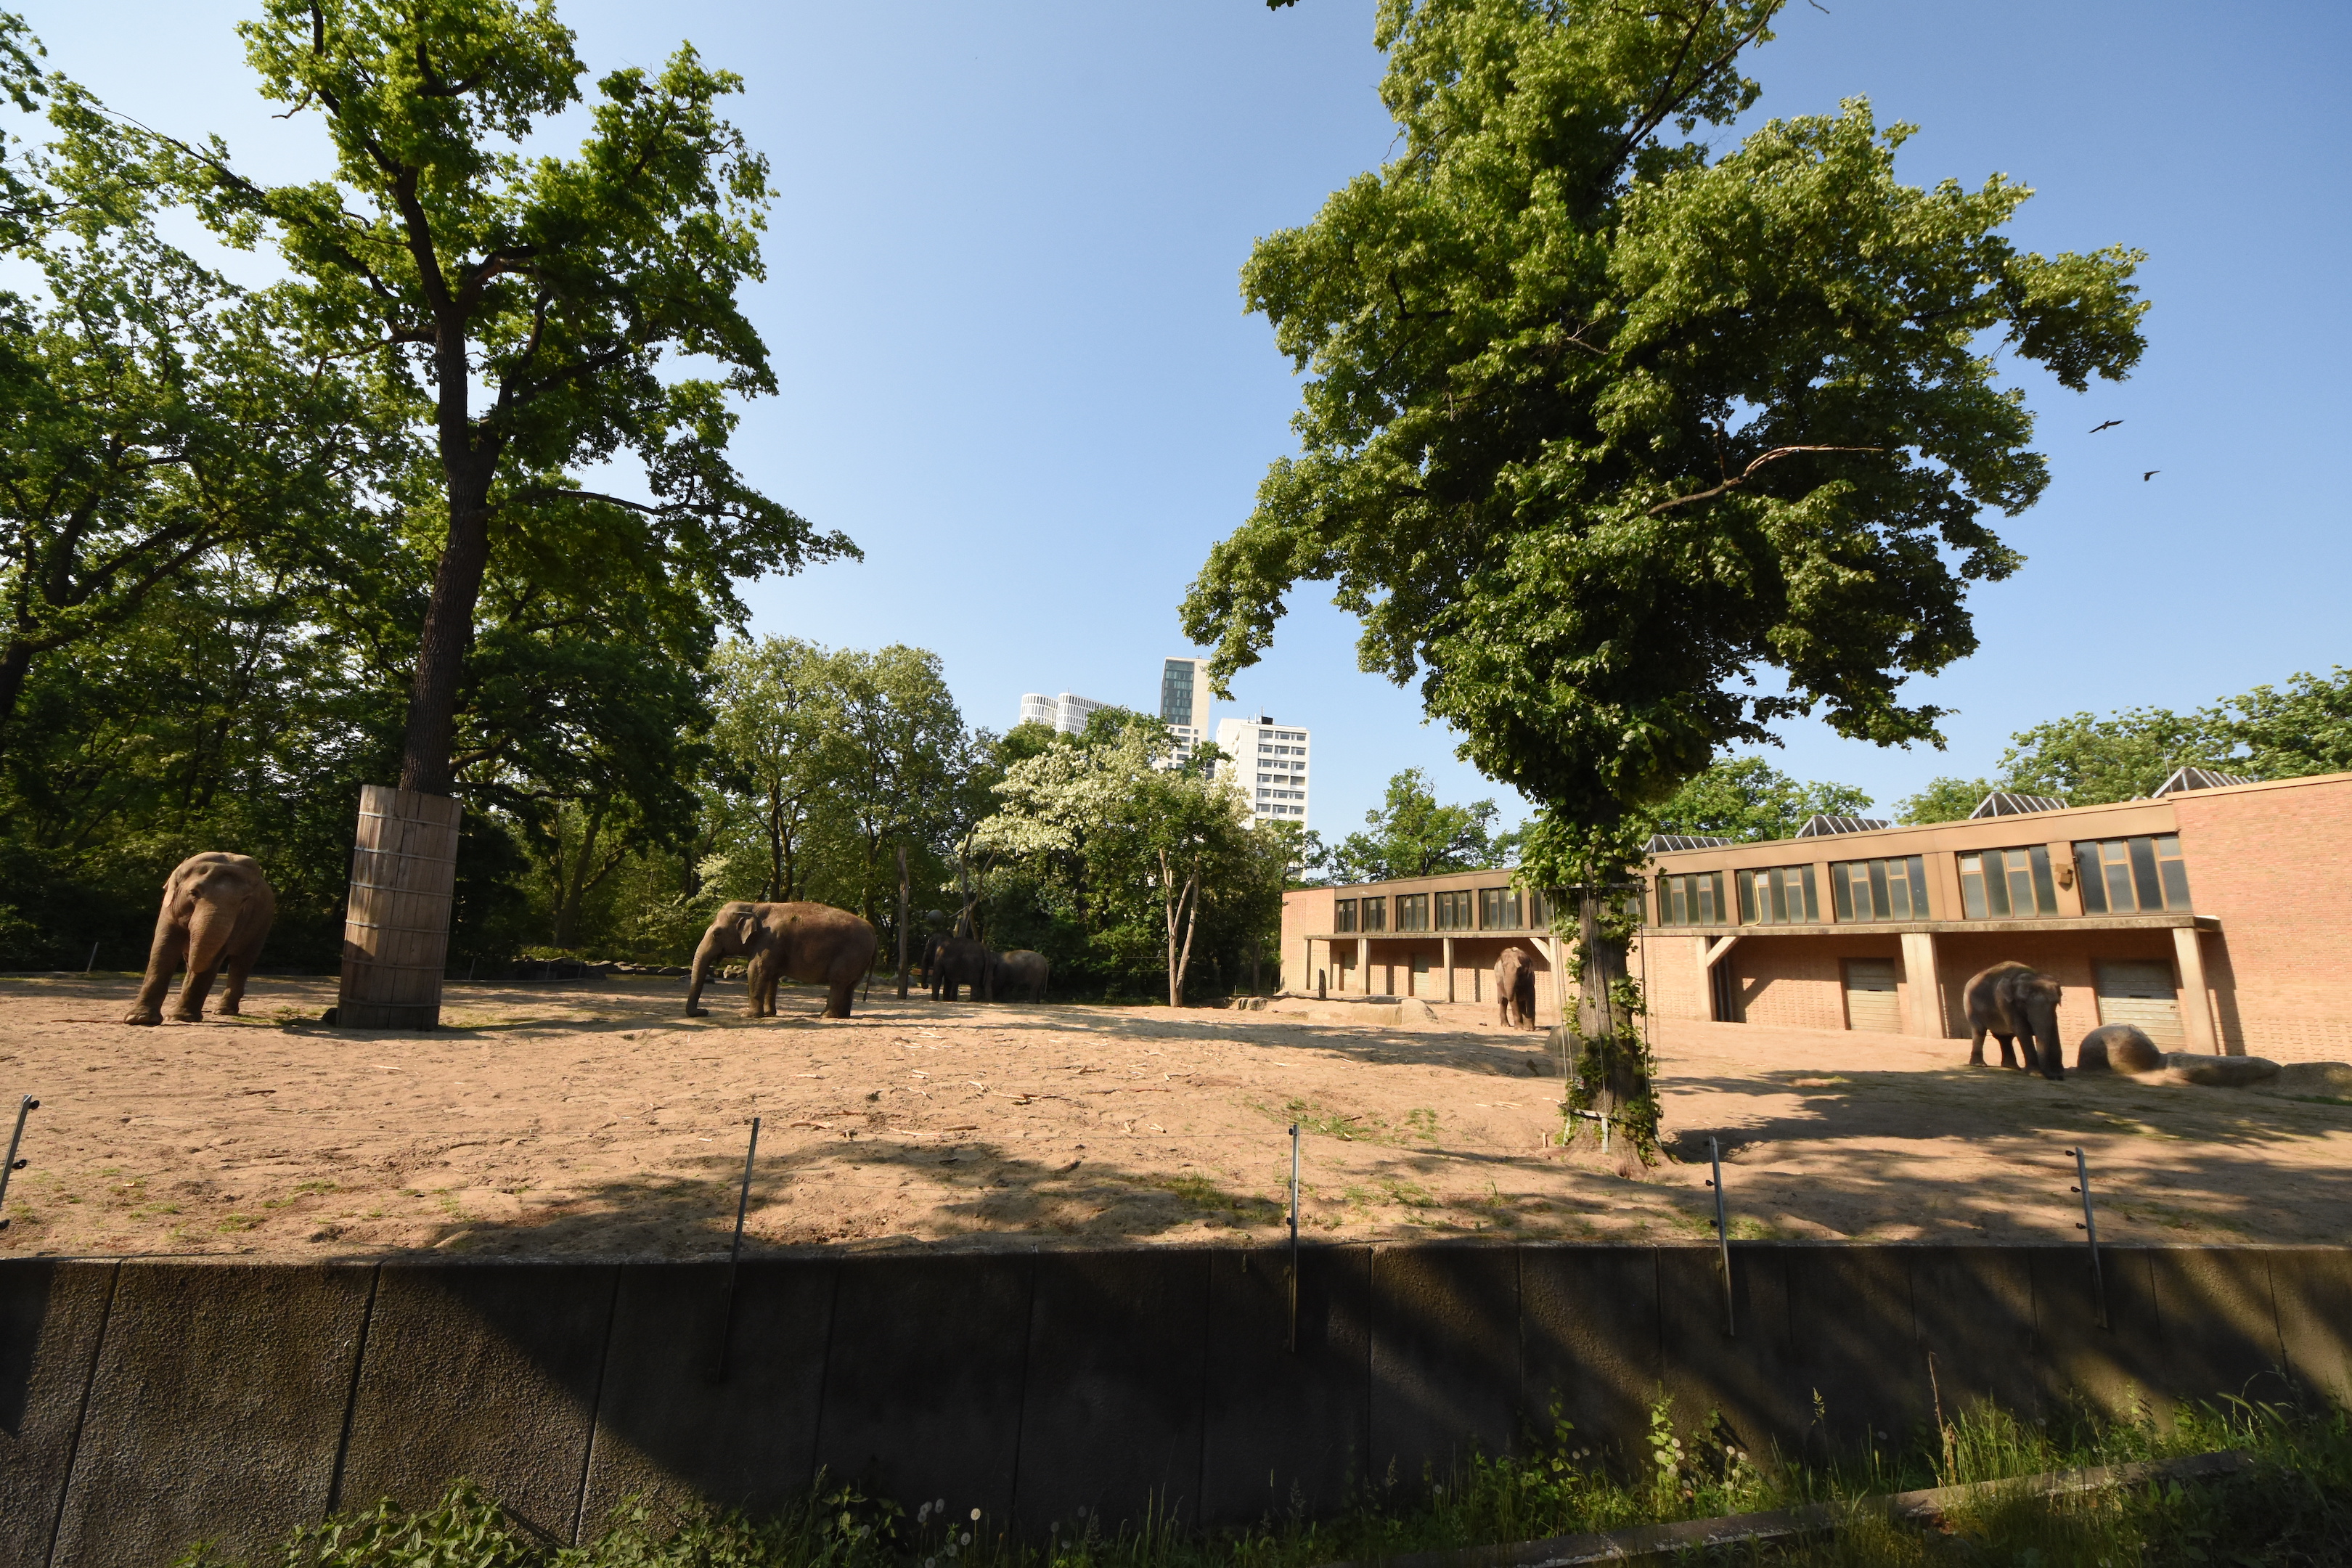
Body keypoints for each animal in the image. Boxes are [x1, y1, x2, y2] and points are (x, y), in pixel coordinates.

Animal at [124, 852, 276, 1026]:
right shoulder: (168, 909)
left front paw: (181, 1018)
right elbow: (163, 949)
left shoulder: (240, 920)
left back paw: (223, 1011)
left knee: (242, 963)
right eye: (194, 893)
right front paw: (140, 1019)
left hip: (262, 926)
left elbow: (215, 957)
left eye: (245, 899)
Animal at [685, 901, 879, 1020]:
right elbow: (772, 976)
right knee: (850, 985)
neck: (755, 906)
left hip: (851, 953)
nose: (704, 1011)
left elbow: (756, 971)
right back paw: (843, 1016)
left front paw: (747, 1015)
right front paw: (770, 1013)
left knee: (838, 982)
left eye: (717, 933)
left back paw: (826, 1016)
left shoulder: (770, 941)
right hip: (860, 958)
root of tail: (873, 931)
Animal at [1964, 961, 2065, 1080]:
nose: (2054, 1077)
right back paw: (1979, 1065)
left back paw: (2012, 1067)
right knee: (1979, 1031)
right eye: (2023, 1002)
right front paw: (2036, 1074)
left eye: (2055, 1002)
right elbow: (2022, 1031)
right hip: (1970, 1005)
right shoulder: (2006, 1003)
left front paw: (2059, 1073)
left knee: (2004, 1038)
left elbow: (2054, 1030)